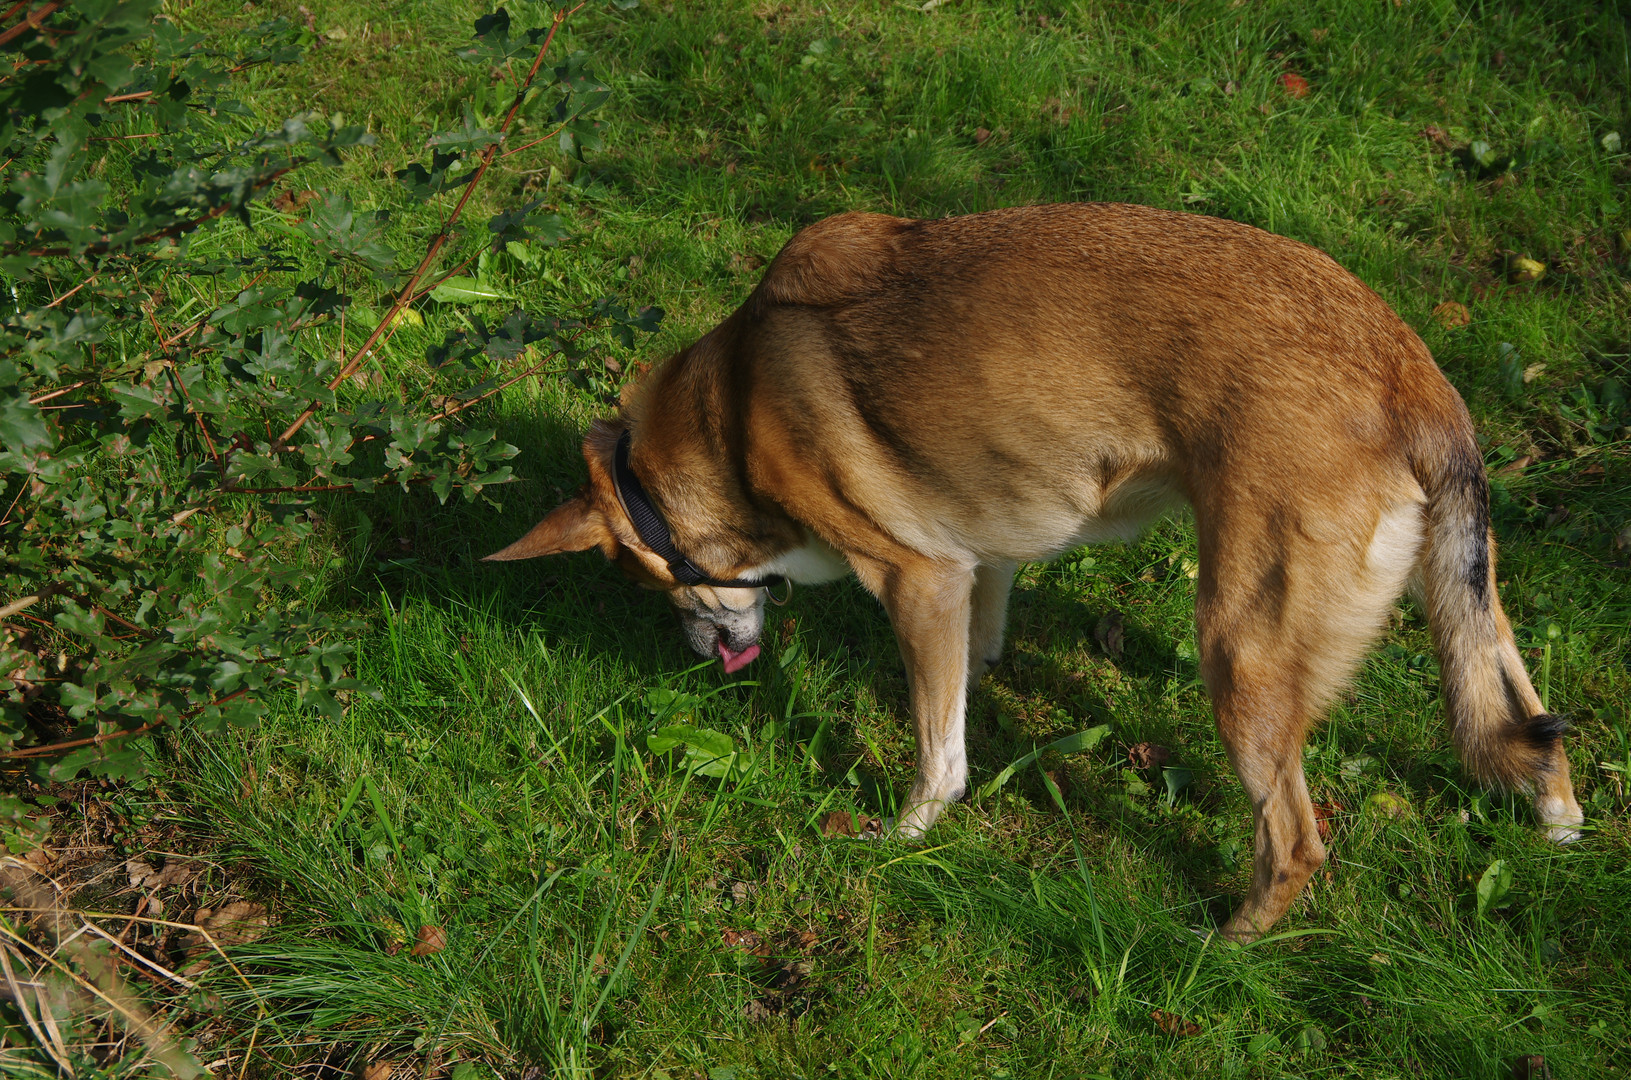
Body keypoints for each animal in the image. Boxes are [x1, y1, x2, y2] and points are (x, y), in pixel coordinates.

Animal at [486, 207, 1578, 946]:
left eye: (644, 578)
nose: (700, 656)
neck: (732, 406)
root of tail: (1407, 368)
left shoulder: (917, 577)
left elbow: (938, 755)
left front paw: (902, 836)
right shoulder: (982, 561)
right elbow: (973, 663)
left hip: (1240, 651)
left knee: (1293, 841)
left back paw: (1220, 947)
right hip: (1465, 608)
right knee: (1523, 716)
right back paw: (1556, 823)